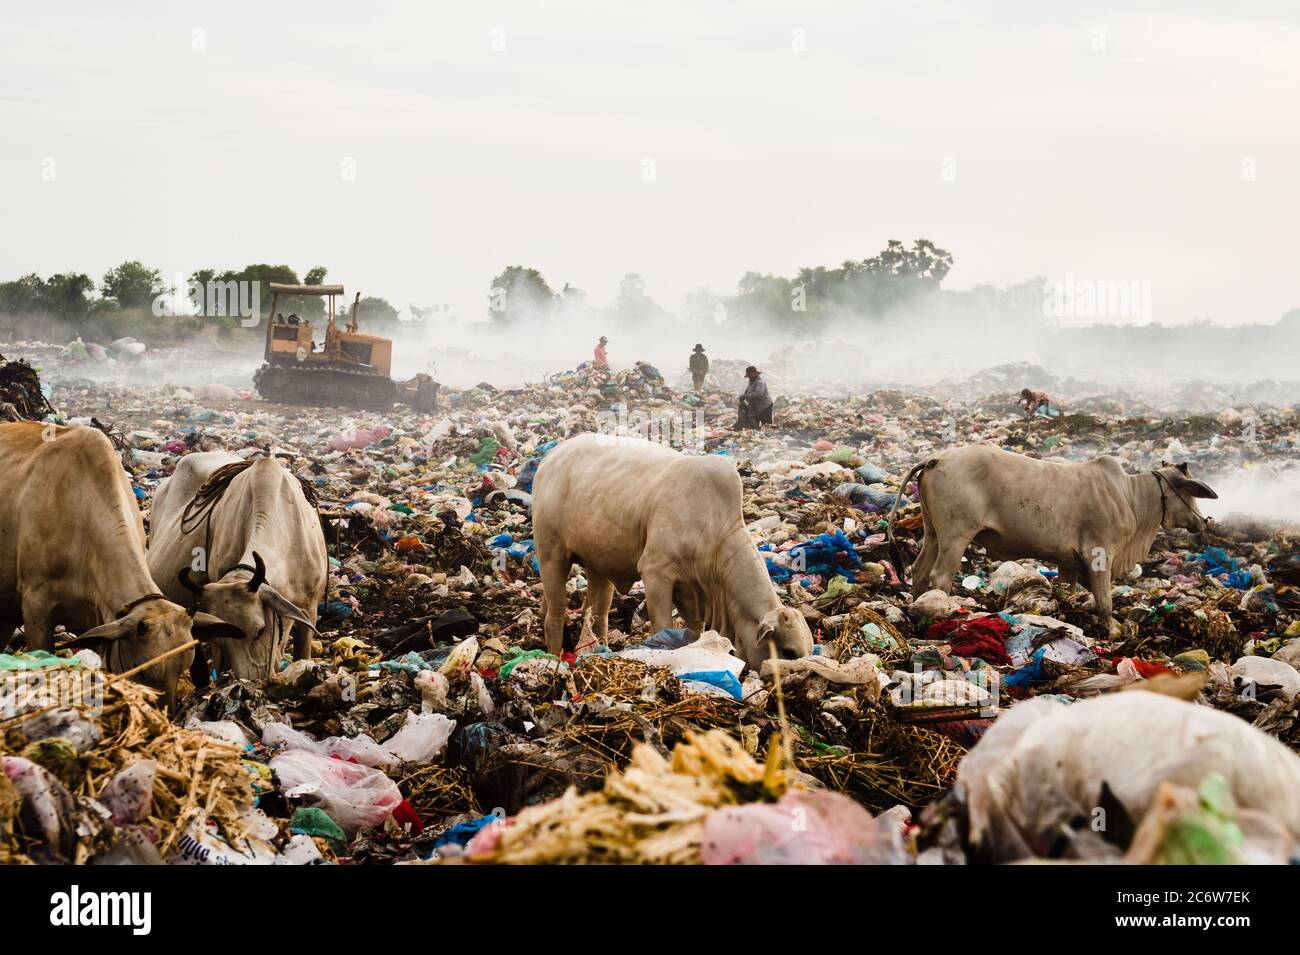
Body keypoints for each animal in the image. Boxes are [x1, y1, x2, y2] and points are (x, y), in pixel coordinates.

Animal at [889, 446, 1211, 628]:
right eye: (1190, 493)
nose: (1203, 521)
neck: (1131, 497)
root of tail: (937, 458)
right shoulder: (1100, 553)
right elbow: (1105, 601)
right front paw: (1113, 632)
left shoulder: (1067, 562)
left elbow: (1067, 593)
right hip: (956, 535)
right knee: (940, 576)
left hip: (933, 532)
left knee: (920, 570)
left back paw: (916, 609)